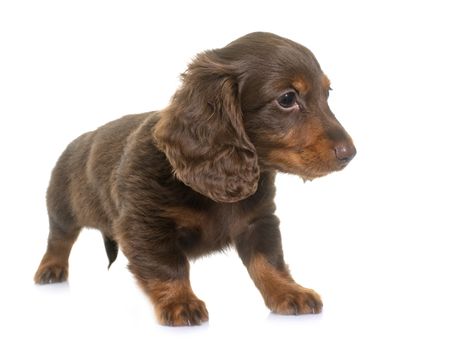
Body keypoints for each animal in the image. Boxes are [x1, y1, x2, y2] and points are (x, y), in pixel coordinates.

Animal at [35, 31, 358, 326]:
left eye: (327, 93)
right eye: (287, 98)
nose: (351, 153)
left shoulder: (259, 220)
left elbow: (268, 260)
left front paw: (288, 292)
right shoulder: (145, 225)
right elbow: (168, 266)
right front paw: (180, 302)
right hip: (62, 208)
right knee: (58, 239)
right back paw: (51, 268)